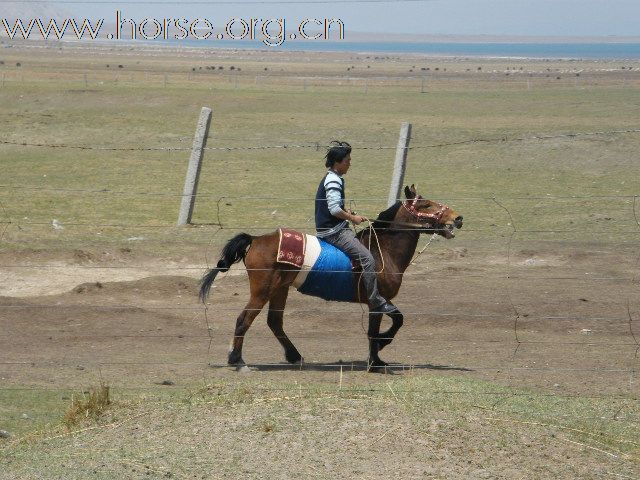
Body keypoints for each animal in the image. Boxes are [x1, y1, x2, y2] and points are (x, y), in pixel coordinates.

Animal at [198, 185, 462, 372]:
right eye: (426, 205)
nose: (458, 217)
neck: (384, 250)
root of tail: (255, 239)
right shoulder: (378, 300)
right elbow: (388, 324)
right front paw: (377, 357)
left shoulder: (378, 302)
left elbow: (389, 323)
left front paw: (377, 357)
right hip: (262, 291)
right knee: (244, 320)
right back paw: (237, 360)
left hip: (280, 289)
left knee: (275, 322)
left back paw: (294, 356)